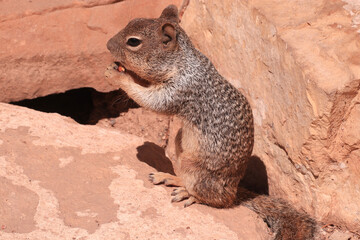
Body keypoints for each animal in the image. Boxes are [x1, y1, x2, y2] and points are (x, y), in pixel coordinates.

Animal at [105, 4, 318, 240]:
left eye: (133, 42)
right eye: (130, 22)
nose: (107, 44)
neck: (183, 60)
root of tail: (234, 192)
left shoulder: (181, 90)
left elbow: (154, 102)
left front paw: (117, 76)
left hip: (196, 169)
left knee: (217, 200)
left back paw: (189, 194)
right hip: (180, 143)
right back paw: (172, 178)